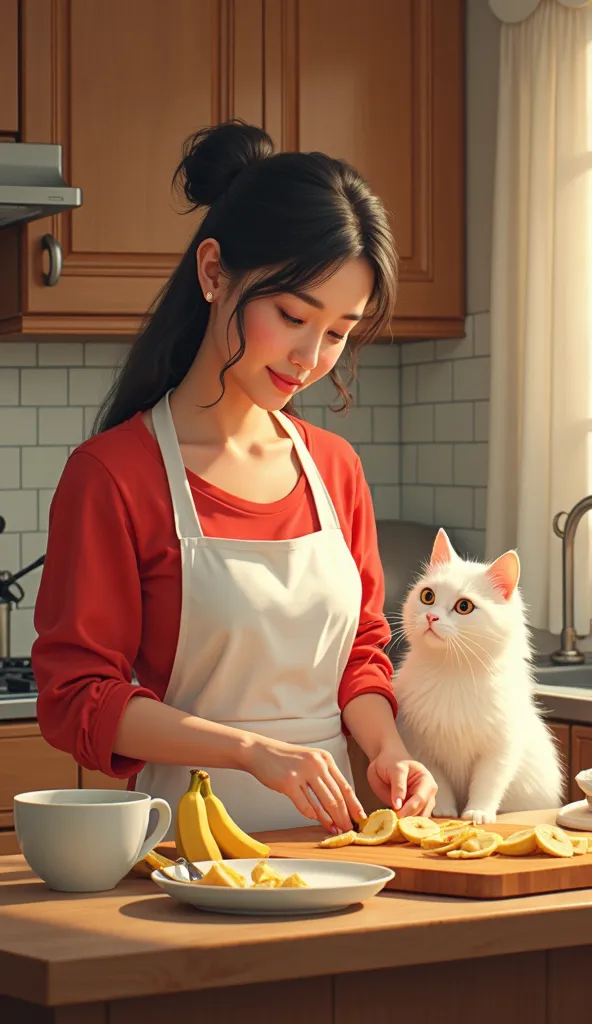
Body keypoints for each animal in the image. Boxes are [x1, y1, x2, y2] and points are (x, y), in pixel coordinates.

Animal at [393, 528, 561, 823]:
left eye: (464, 606)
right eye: (428, 596)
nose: (431, 618)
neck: (452, 674)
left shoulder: (500, 749)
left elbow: (488, 784)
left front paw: (477, 813)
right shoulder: (422, 746)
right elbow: (439, 782)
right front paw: (443, 811)